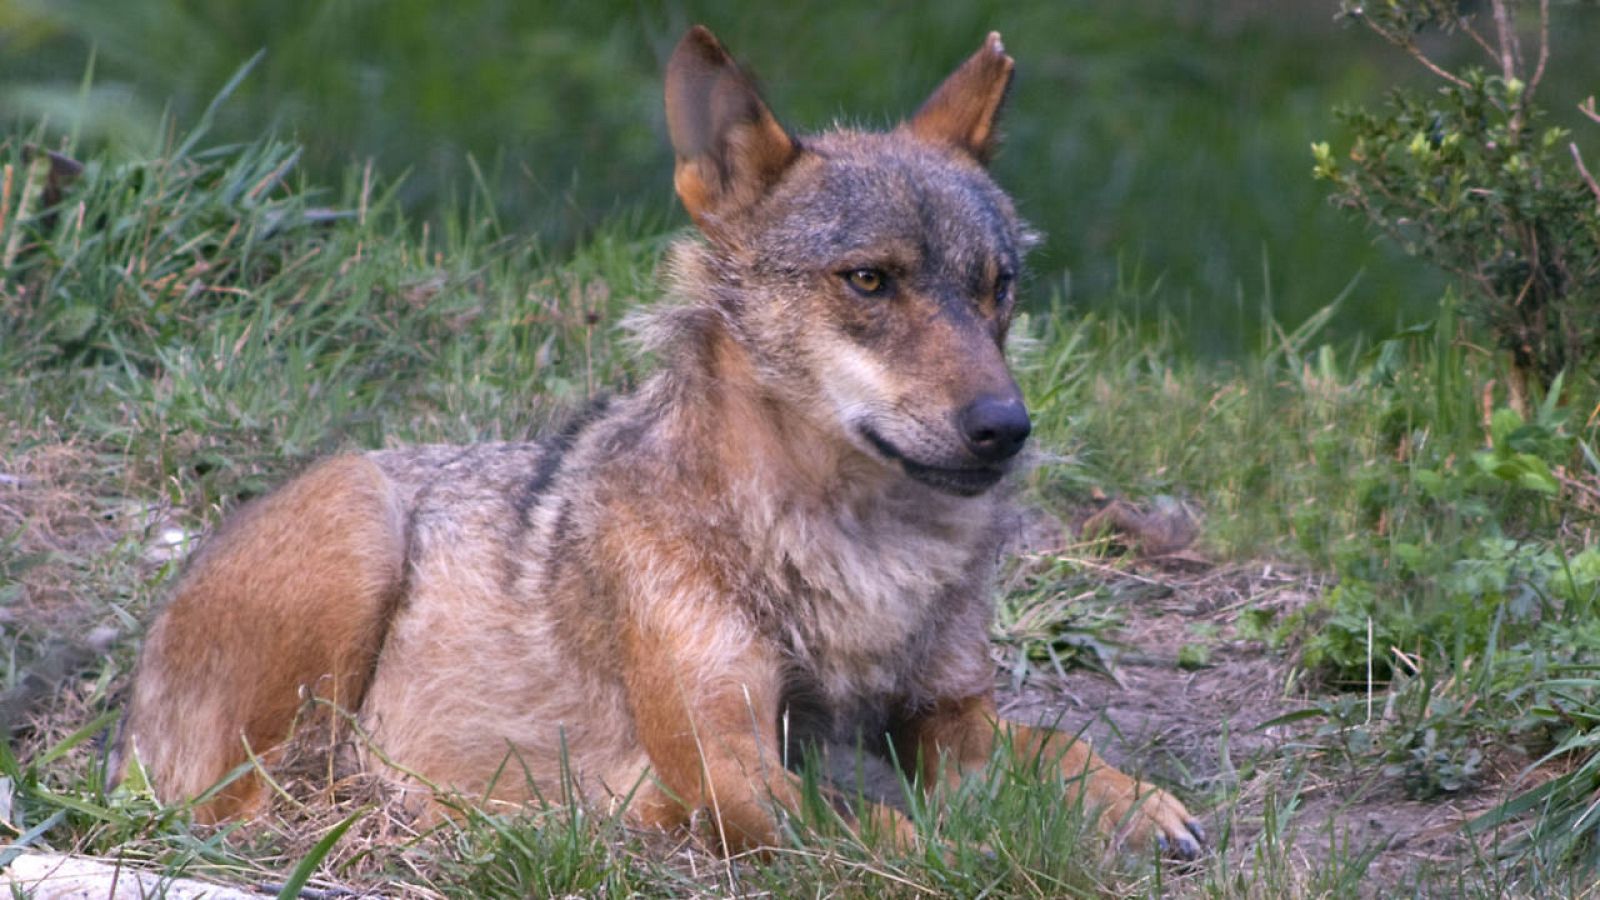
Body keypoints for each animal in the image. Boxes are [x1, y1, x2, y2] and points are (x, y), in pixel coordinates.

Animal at [116, 26, 1203, 851]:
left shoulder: (948, 719)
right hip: (354, 528)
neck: (858, 552)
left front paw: (1137, 805)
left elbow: (1053, 748)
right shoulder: (732, 761)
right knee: (269, 803)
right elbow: (892, 834)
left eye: (998, 288)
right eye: (869, 280)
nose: (1005, 428)